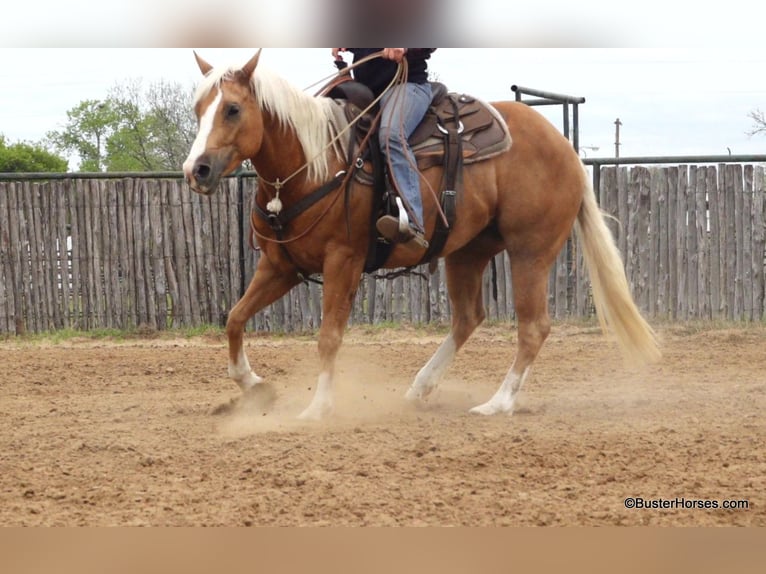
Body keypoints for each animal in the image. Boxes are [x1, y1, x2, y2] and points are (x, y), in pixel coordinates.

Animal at [182, 51, 660, 420]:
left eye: (232, 109)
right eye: (198, 109)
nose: (196, 170)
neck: (315, 162)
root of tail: (566, 150)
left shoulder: (343, 261)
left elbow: (329, 336)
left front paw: (318, 408)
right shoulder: (281, 266)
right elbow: (234, 318)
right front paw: (256, 385)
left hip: (531, 251)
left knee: (532, 327)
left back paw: (497, 403)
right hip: (468, 251)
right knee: (468, 318)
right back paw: (420, 388)